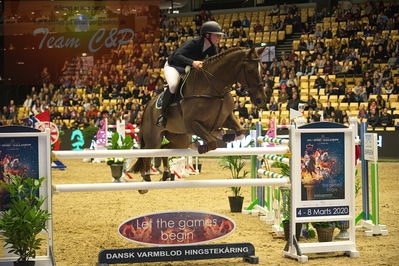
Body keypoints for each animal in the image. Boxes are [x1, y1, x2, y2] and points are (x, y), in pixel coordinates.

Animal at [131, 46, 268, 188]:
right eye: (250, 70)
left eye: (262, 69)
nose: (261, 100)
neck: (213, 89)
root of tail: (148, 104)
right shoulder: (192, 123)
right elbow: (212, 142)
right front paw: (202, 147)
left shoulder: (225, 117)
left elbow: (240, 132)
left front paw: (224, 136)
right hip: (153, 138)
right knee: (147, 152)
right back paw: (146, 179)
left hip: (181, 138)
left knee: (164, 149)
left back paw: (167, 174)